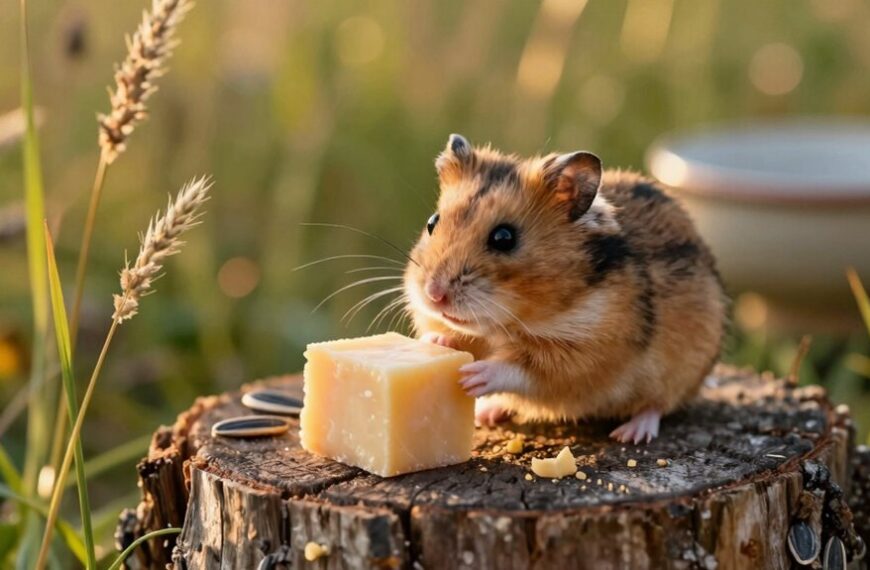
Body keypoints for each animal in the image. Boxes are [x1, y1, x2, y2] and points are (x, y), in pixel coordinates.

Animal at [404, 134, 728, 443]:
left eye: (504, 237)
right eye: (432, 222)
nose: (434, 294)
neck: (504, 325)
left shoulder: (587, 355)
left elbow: (525, 368)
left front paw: (474, 375)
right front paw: (438, 342)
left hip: (680, 373)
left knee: (657, 405)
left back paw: (631, 434)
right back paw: (488, 413)